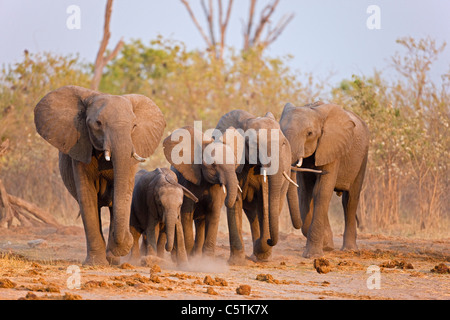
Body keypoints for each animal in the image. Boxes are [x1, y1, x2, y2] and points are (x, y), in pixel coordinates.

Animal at [33, 85, 165, 264]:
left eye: (134, 126)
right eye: (98, 123)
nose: (130, 239)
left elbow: (122, 194)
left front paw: (115, 255)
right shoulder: (80, 147)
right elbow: (87, 196)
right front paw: (95, 263)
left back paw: (113, 259)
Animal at [163, 125, 244, 258]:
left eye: (235, 163)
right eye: (213, 165)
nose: (237, 197)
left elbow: (214, 212)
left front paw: (207, 259)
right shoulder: (187, 181)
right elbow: (186, 214)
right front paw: (190, 256)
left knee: (200, 223)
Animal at [215, 111, 298, 264]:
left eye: (283, 143)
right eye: (255, 144)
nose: (270, 240)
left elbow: (265, 202)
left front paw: (261, 249)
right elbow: (236, 201)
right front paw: (237, 262)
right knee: (253, 214)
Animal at [280, 102, 370, 258]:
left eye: (309, 133)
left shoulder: (332, 147)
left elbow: (321, 191)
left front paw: (313, 255)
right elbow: (306, 193)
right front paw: (326, 245)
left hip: (363, 155)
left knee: (350, 199)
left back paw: (349, 249)